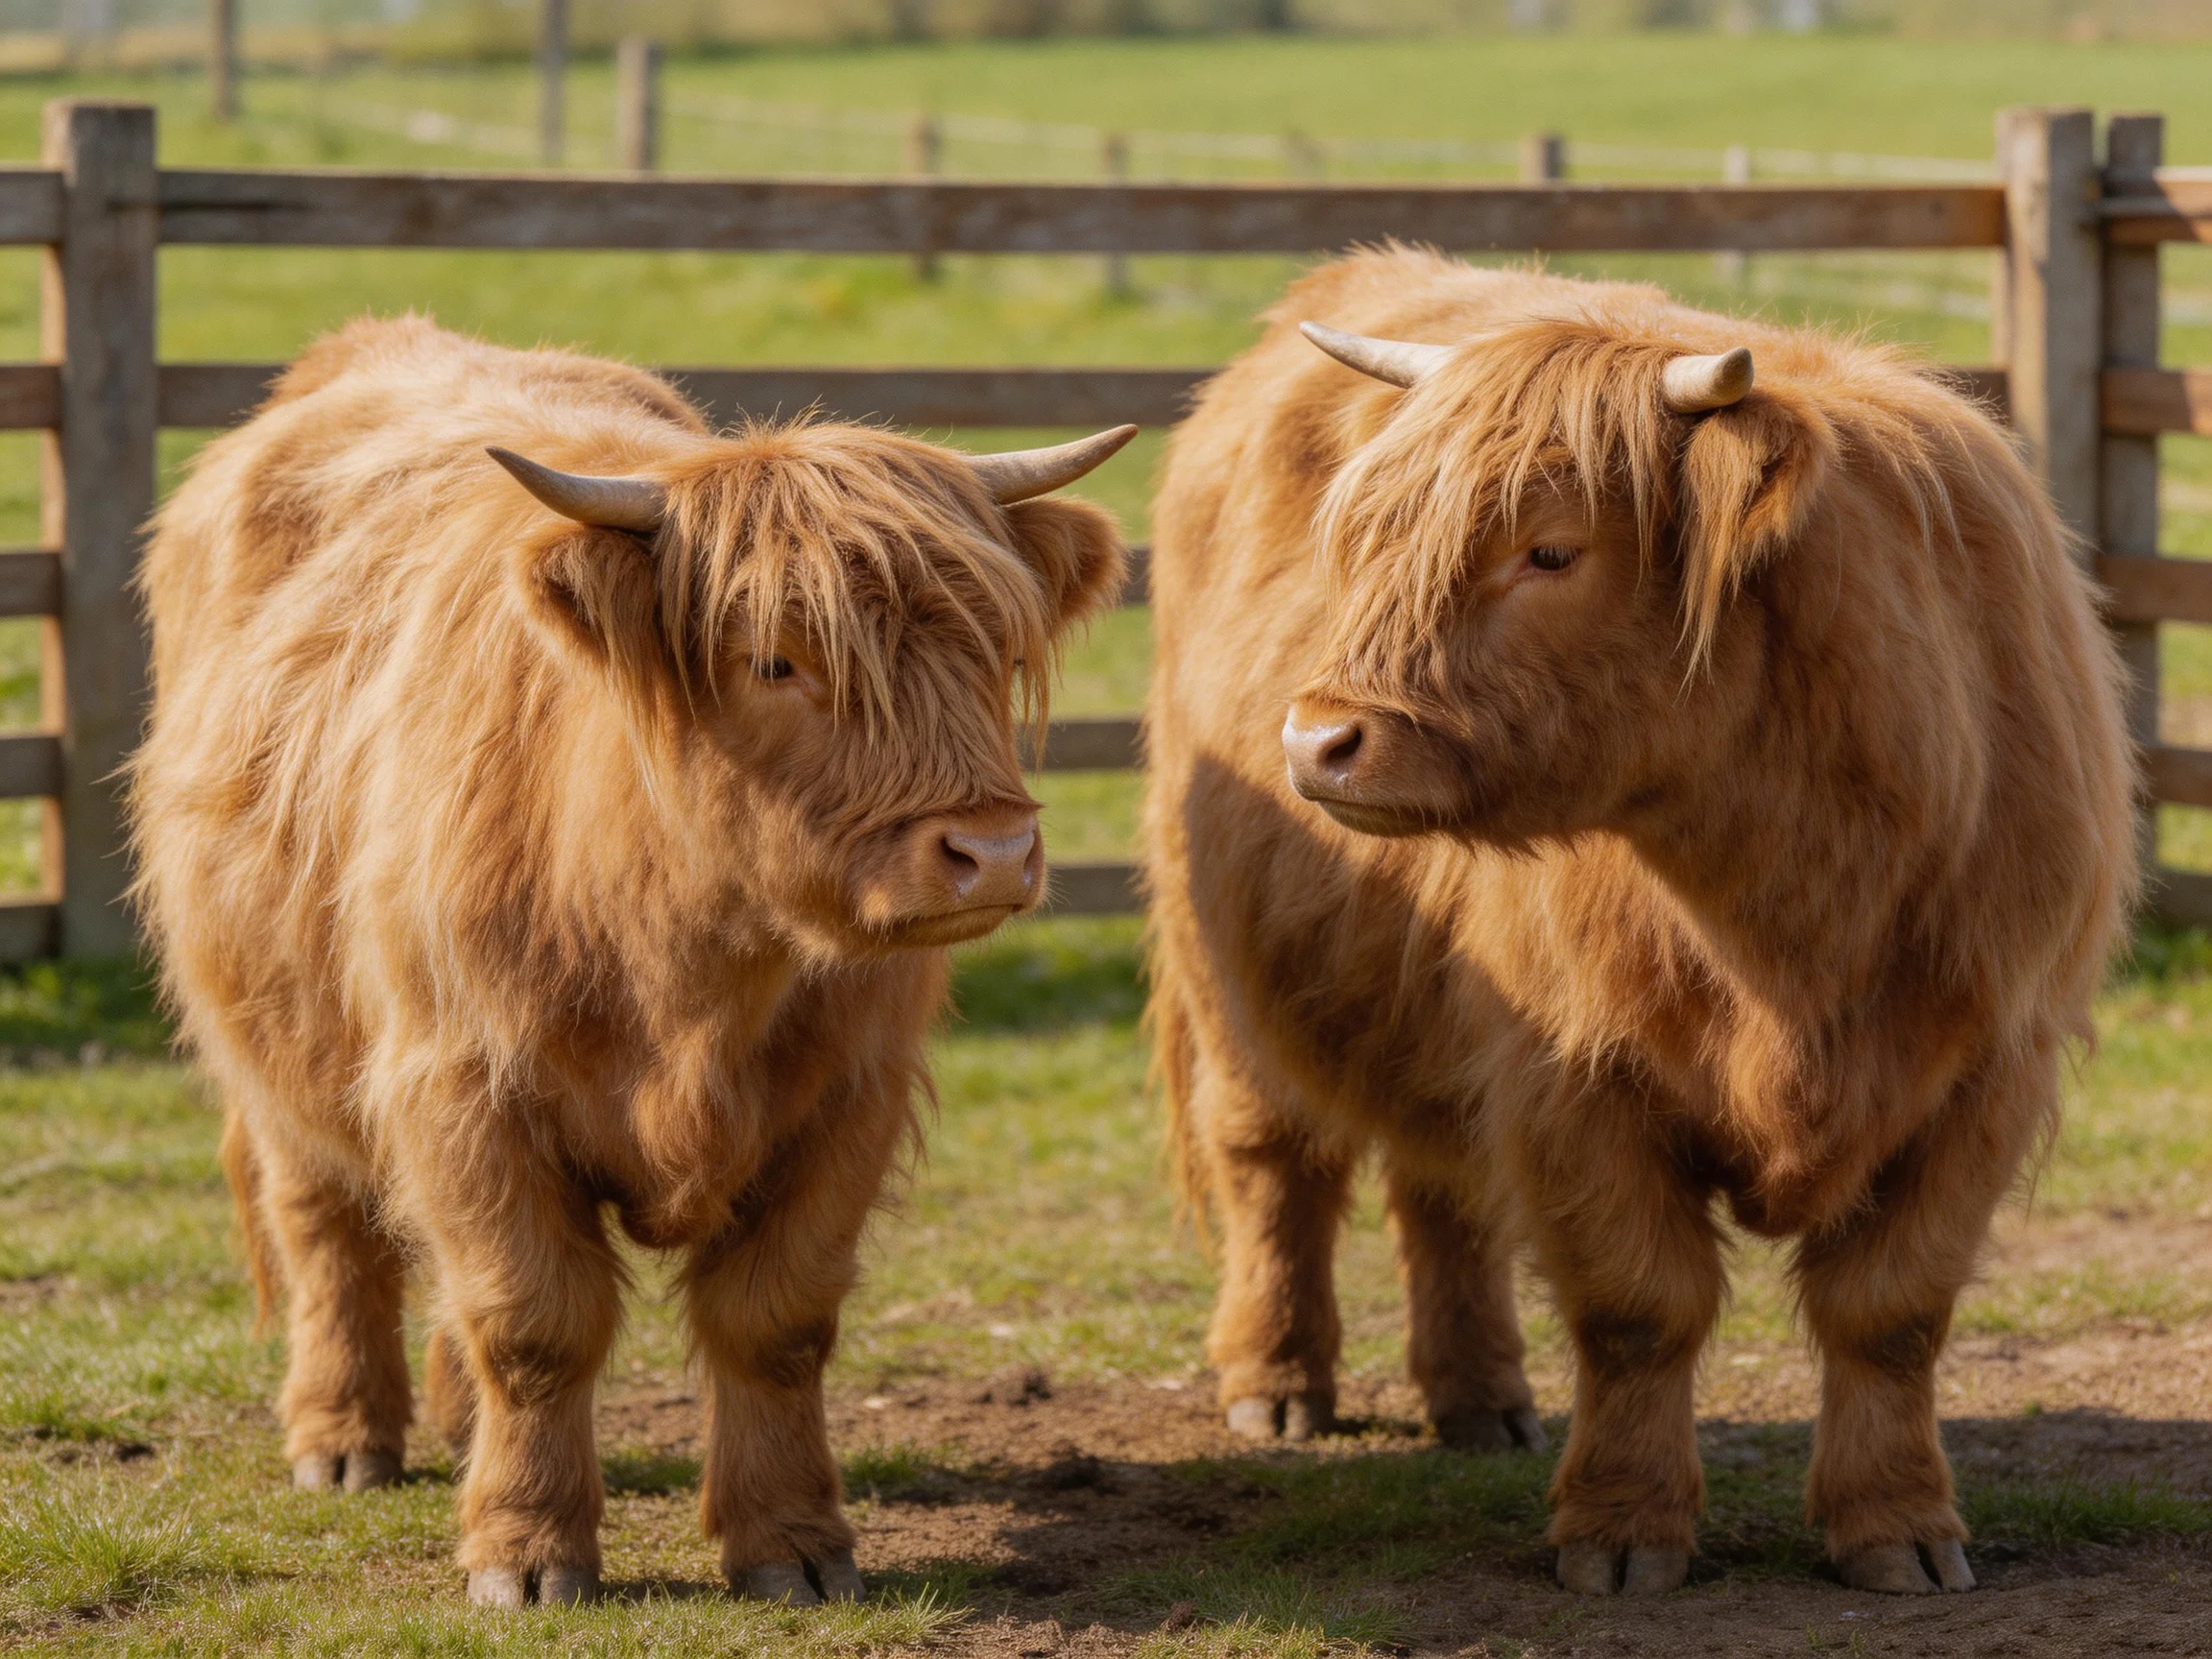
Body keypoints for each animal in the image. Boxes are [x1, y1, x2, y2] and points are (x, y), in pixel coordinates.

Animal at [128, 316, 1130, 1608]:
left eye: (996, 644)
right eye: (775, 661)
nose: (994, 853)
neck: (688, 970)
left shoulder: (848, 1096)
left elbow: (776, 1319)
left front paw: (792, 1543)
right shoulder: (460, 1083)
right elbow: (532, 1321)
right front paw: (527, 1553)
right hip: (278, 1041)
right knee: (326, 1222)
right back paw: (343, 1437)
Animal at [1141, 250, 2134, 1597]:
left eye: (1553, 552)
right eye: (1369, 537)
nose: (1318, 740)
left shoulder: (1986, 1070)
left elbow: (1893, 1309)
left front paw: (1901, 1529)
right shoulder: (1574, 1066)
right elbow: (1637, 1306)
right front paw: (1620, 1534)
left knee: (1442, 1182)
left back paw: (1482, 1401)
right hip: (1224, 961)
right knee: (1272, 1156)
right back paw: (1279, 1383)